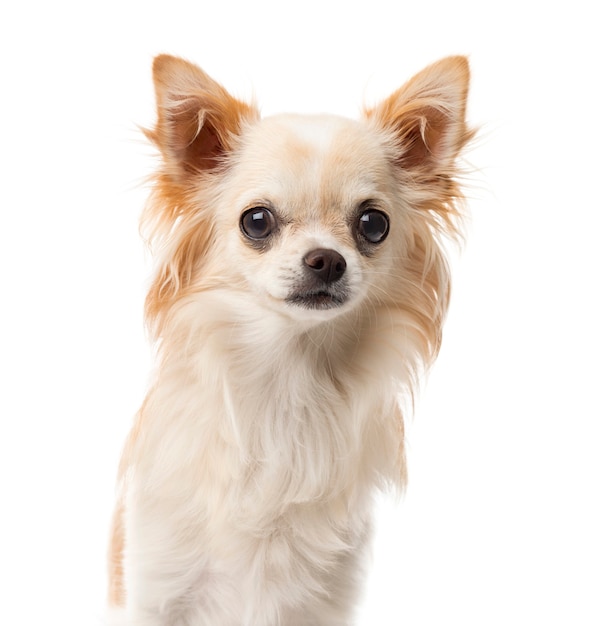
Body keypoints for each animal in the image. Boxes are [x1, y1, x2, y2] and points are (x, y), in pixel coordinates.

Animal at [108, 54, 470, 624]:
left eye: (374, 224)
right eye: (257, 221)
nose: (326, 259)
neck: (289, 380)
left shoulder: (321, 599)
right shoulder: (155, 583)